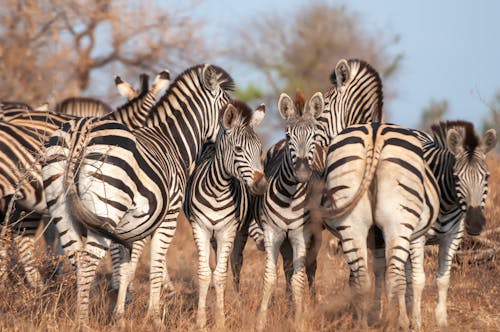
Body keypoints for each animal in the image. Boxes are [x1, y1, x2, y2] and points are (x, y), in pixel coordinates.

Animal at [40, 63, 234, 326]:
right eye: (229, 111)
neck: (173, 141)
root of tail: (81, 131)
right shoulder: (168, 217)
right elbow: (155, 265)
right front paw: (154, 317)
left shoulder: (129, 228)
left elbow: (125, 268)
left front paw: (119, 315)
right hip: (105, 208)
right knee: (88, 260)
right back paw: (84, 321)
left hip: (62, 207)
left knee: (76, 257)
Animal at [184, 100, 268, 328]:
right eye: (238, 149)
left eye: (261, 150)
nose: (261, 186)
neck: (217, 190)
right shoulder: (200, 227)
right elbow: (205, 273)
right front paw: (201, 321)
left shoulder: (228, 230)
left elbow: (221, 275)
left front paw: (220, 321)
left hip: (241, 231)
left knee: (236, 264)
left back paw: (237, 302)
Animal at [254, 90, 328, 330]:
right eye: (288, 136)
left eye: (313, 136)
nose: (303, 172)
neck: (290, 195)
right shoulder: (273, 233)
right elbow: (270, 277)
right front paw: (261, 321)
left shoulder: (299, 236)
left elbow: (298, 278)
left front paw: (298, 319)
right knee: (287, 269)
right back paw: (288, 306)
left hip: (315, 235)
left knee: (310, 268)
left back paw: (311, 304)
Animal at [312, 123, 442, 330]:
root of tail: (375, 133)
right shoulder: (416, 237)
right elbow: (414, 279)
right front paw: (414, 322)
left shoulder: (378, 241)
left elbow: (378, 273)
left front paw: (375, 313)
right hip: (398, 221)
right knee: (394, 277)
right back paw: (395, 322)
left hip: (351, 222)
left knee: (362, 278)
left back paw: (363, 324)